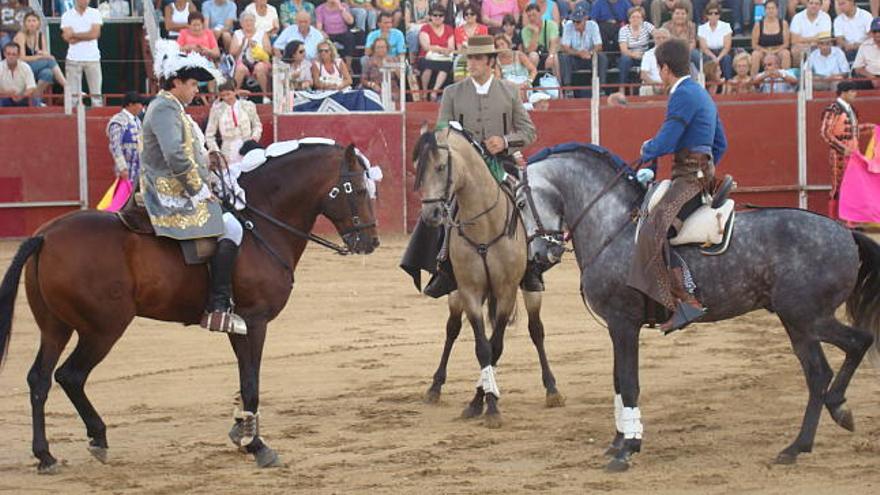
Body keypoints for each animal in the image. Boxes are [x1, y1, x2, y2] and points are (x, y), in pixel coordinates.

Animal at [0, 142, 378, 472]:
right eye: (359, 190)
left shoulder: (238, 325)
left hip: (55, 327)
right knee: (70, 375)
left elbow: (245, 380)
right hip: (103, 329)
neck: (261, 225)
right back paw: (97, 438)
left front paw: (241, 430)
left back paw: (45, 455)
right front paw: (256, 445)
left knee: (39, 379)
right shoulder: (255, 321)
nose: (370, 241)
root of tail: (46, 235)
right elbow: (252, 383)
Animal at [414, 126, 564, 428]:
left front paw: (489, 402)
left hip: (529, 290)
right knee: (452, 329)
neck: (484, 224)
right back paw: (436, 387)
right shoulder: (470, 290)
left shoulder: (506, 291)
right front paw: (480, 402)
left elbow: (496, 346)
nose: (431, 214)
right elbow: (482, 348)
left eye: (441, 166)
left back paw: (552, 389)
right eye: (419, 171)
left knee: (536, 330)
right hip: (457, 293)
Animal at [516, 147, 880, 472]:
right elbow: (618, 381)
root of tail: (846, 233)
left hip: (807, 317)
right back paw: (801, 443)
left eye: (520, 203)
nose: (538, 257)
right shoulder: (617, 328)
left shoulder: (623, 323)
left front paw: (628, 449)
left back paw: (830, 415)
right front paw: (618, 442)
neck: (612, 226)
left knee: (855, 345)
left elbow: (629, 382)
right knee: (820, 372)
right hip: (798, 323)